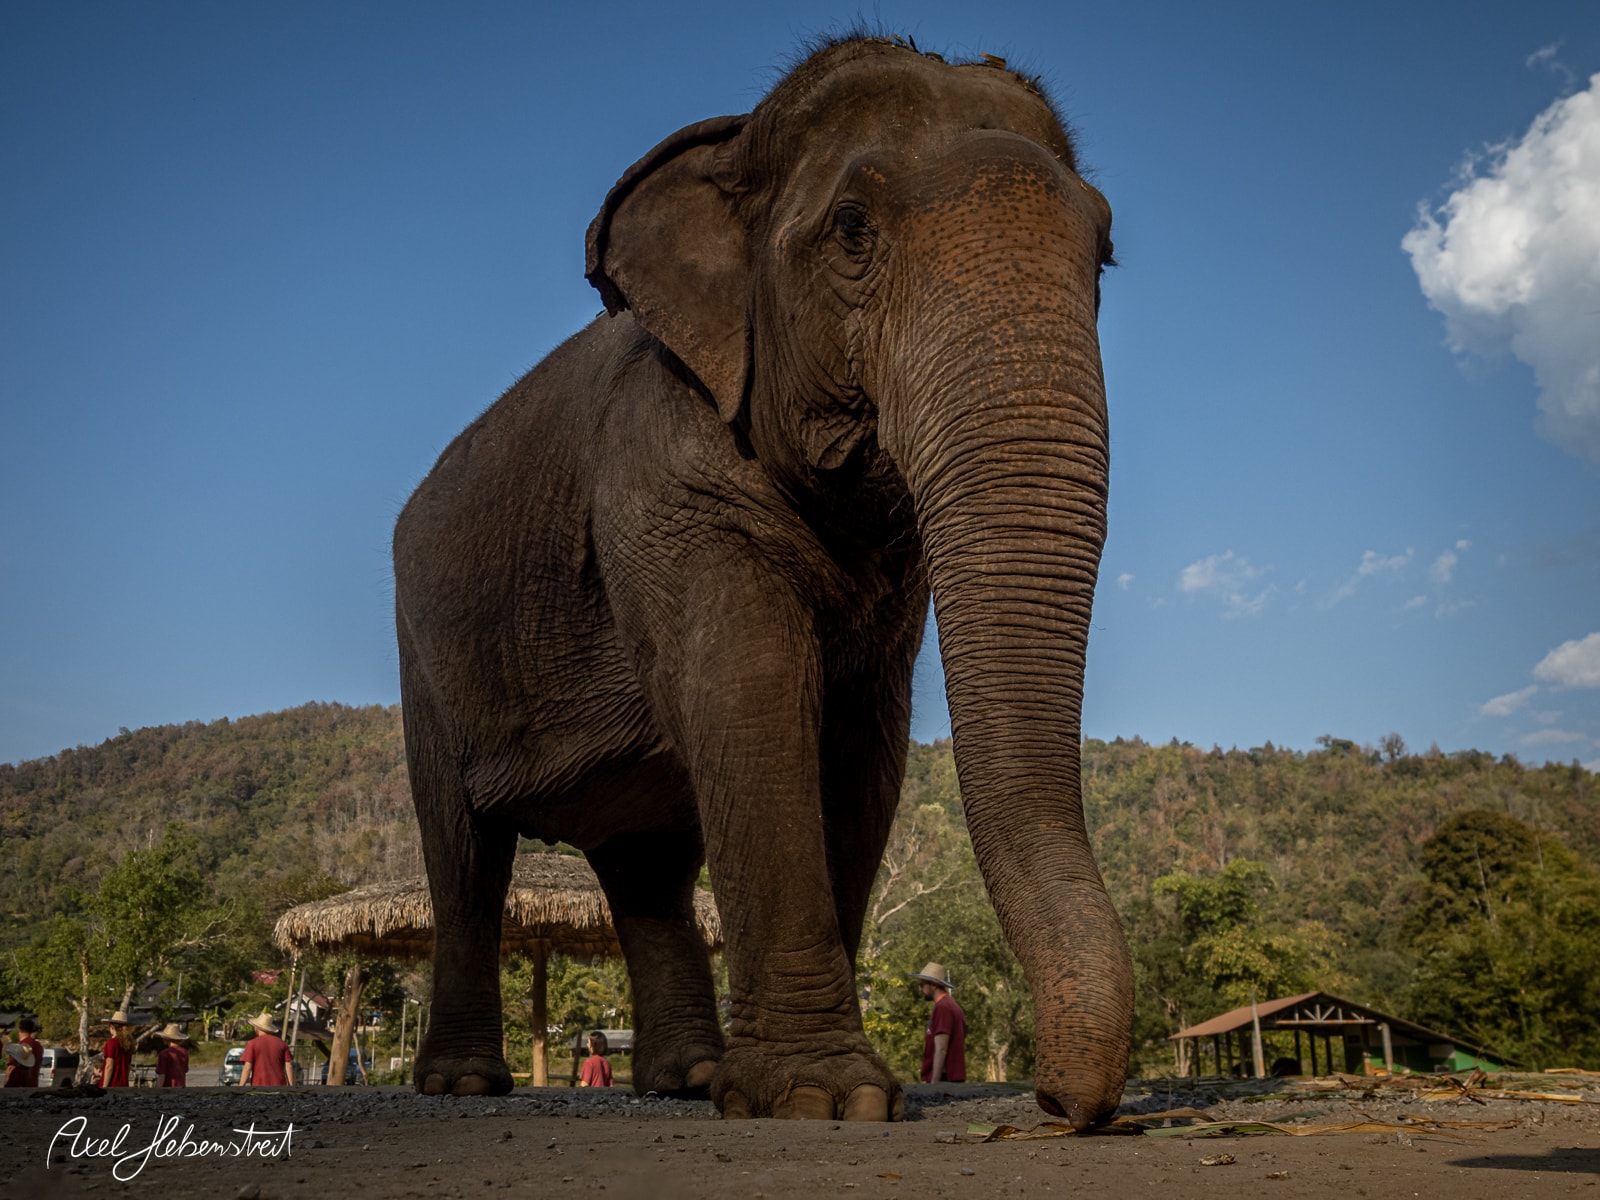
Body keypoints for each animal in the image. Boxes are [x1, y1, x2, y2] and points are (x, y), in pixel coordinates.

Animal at [393, 34, 1132, 1125]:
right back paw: (461, 1085)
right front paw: (824, 1100)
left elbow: (858, 747)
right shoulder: (662, 479)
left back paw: (688, 1082)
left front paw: (807, 1093)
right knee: (465, 850)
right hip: (423, 650)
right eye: (853, 230)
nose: (1053, 1102)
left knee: (646, 865)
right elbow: (753, 697)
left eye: (1105, 253)